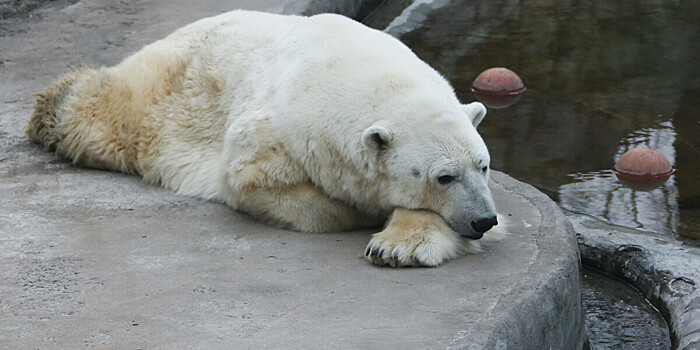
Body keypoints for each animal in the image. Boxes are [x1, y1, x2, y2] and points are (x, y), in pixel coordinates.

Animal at [24, 10, 500, 268]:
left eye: (483, 166)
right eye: (443, 176)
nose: (484, 220)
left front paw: (396, 245)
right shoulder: (284, 130)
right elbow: (254, 180)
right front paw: (361, 214)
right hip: (157, 97)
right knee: (99, 114)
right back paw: (56, 103)